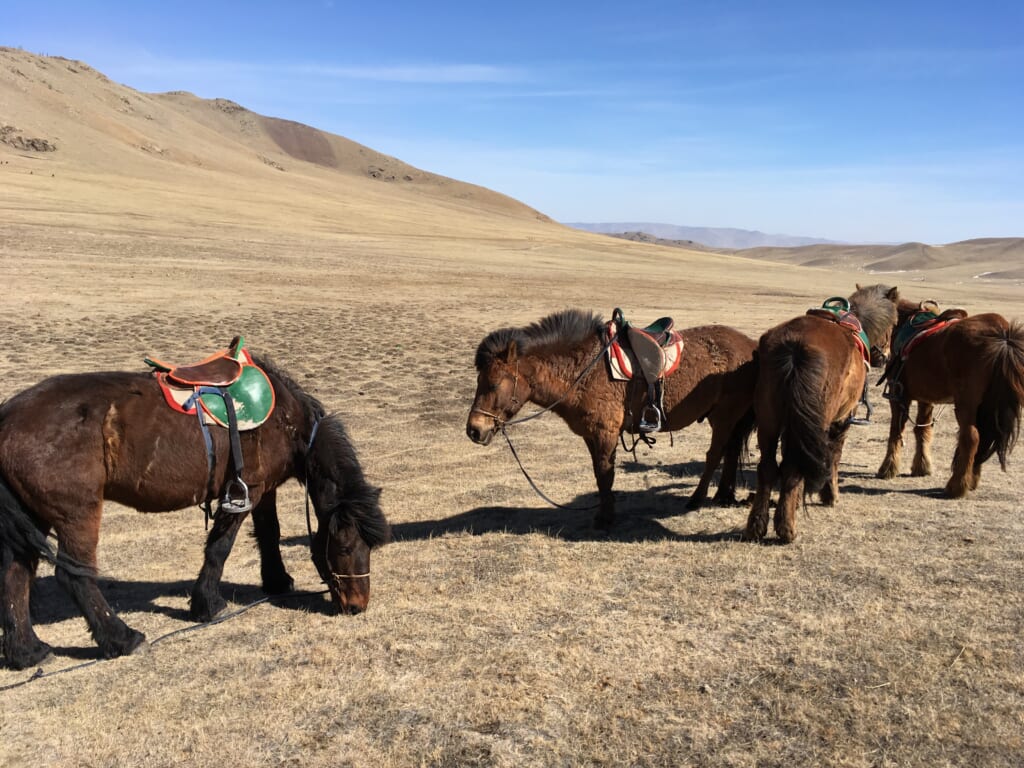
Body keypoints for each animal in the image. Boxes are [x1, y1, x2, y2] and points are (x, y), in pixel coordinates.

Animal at [741, 286, 901, 544]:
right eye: (895, 323)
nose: (884, 356)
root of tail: (796, 348)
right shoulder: (841, 420)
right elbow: (834, 455)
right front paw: (830, 495)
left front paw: (796, 502)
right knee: (793, 467)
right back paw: (787, 529)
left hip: (769, 420)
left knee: (768, 467)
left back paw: (756, 526)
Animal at [872, 301, 1024, 499]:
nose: (876, 357)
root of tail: (1003, 337)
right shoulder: (925, 398)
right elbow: (922, 429)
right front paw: (922, 467)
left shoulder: (898, 396)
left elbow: (896, 431)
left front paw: (887, 469)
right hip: (985, 407)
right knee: (982, 438)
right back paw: (971, 480)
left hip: (966, 404)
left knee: (971, 438)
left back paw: (956, 486)